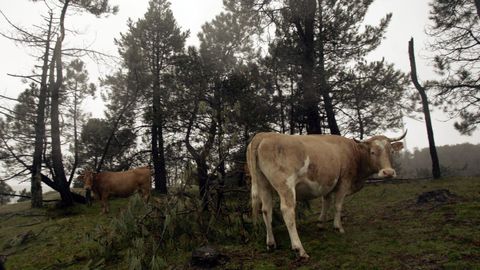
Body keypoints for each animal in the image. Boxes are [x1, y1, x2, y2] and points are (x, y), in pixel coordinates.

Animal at [246, 131, 406, 260]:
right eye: (372, 152)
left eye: (391, 151)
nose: (388, 172)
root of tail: (263, 135)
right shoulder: (344, 181)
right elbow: (338, 205)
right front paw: (338, 227)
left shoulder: (327, 183)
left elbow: (326, 202)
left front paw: (321, 223)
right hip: (285, 185)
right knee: (287, 212)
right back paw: (299, 250)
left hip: (264, 184)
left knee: (266, 210)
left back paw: (271, 244)